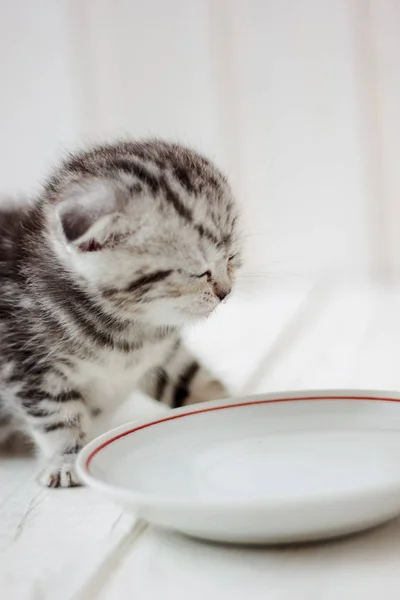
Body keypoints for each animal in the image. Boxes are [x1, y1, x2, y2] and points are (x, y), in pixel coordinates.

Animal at [0, 139, 241, 488]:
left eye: (231, 257)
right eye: (197, 272)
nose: (226, 292)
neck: (127, 330)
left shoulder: (164, 357)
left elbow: (192, 380)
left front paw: (232, 404)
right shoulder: (28, 367)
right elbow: (57, 416)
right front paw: (65, 459)